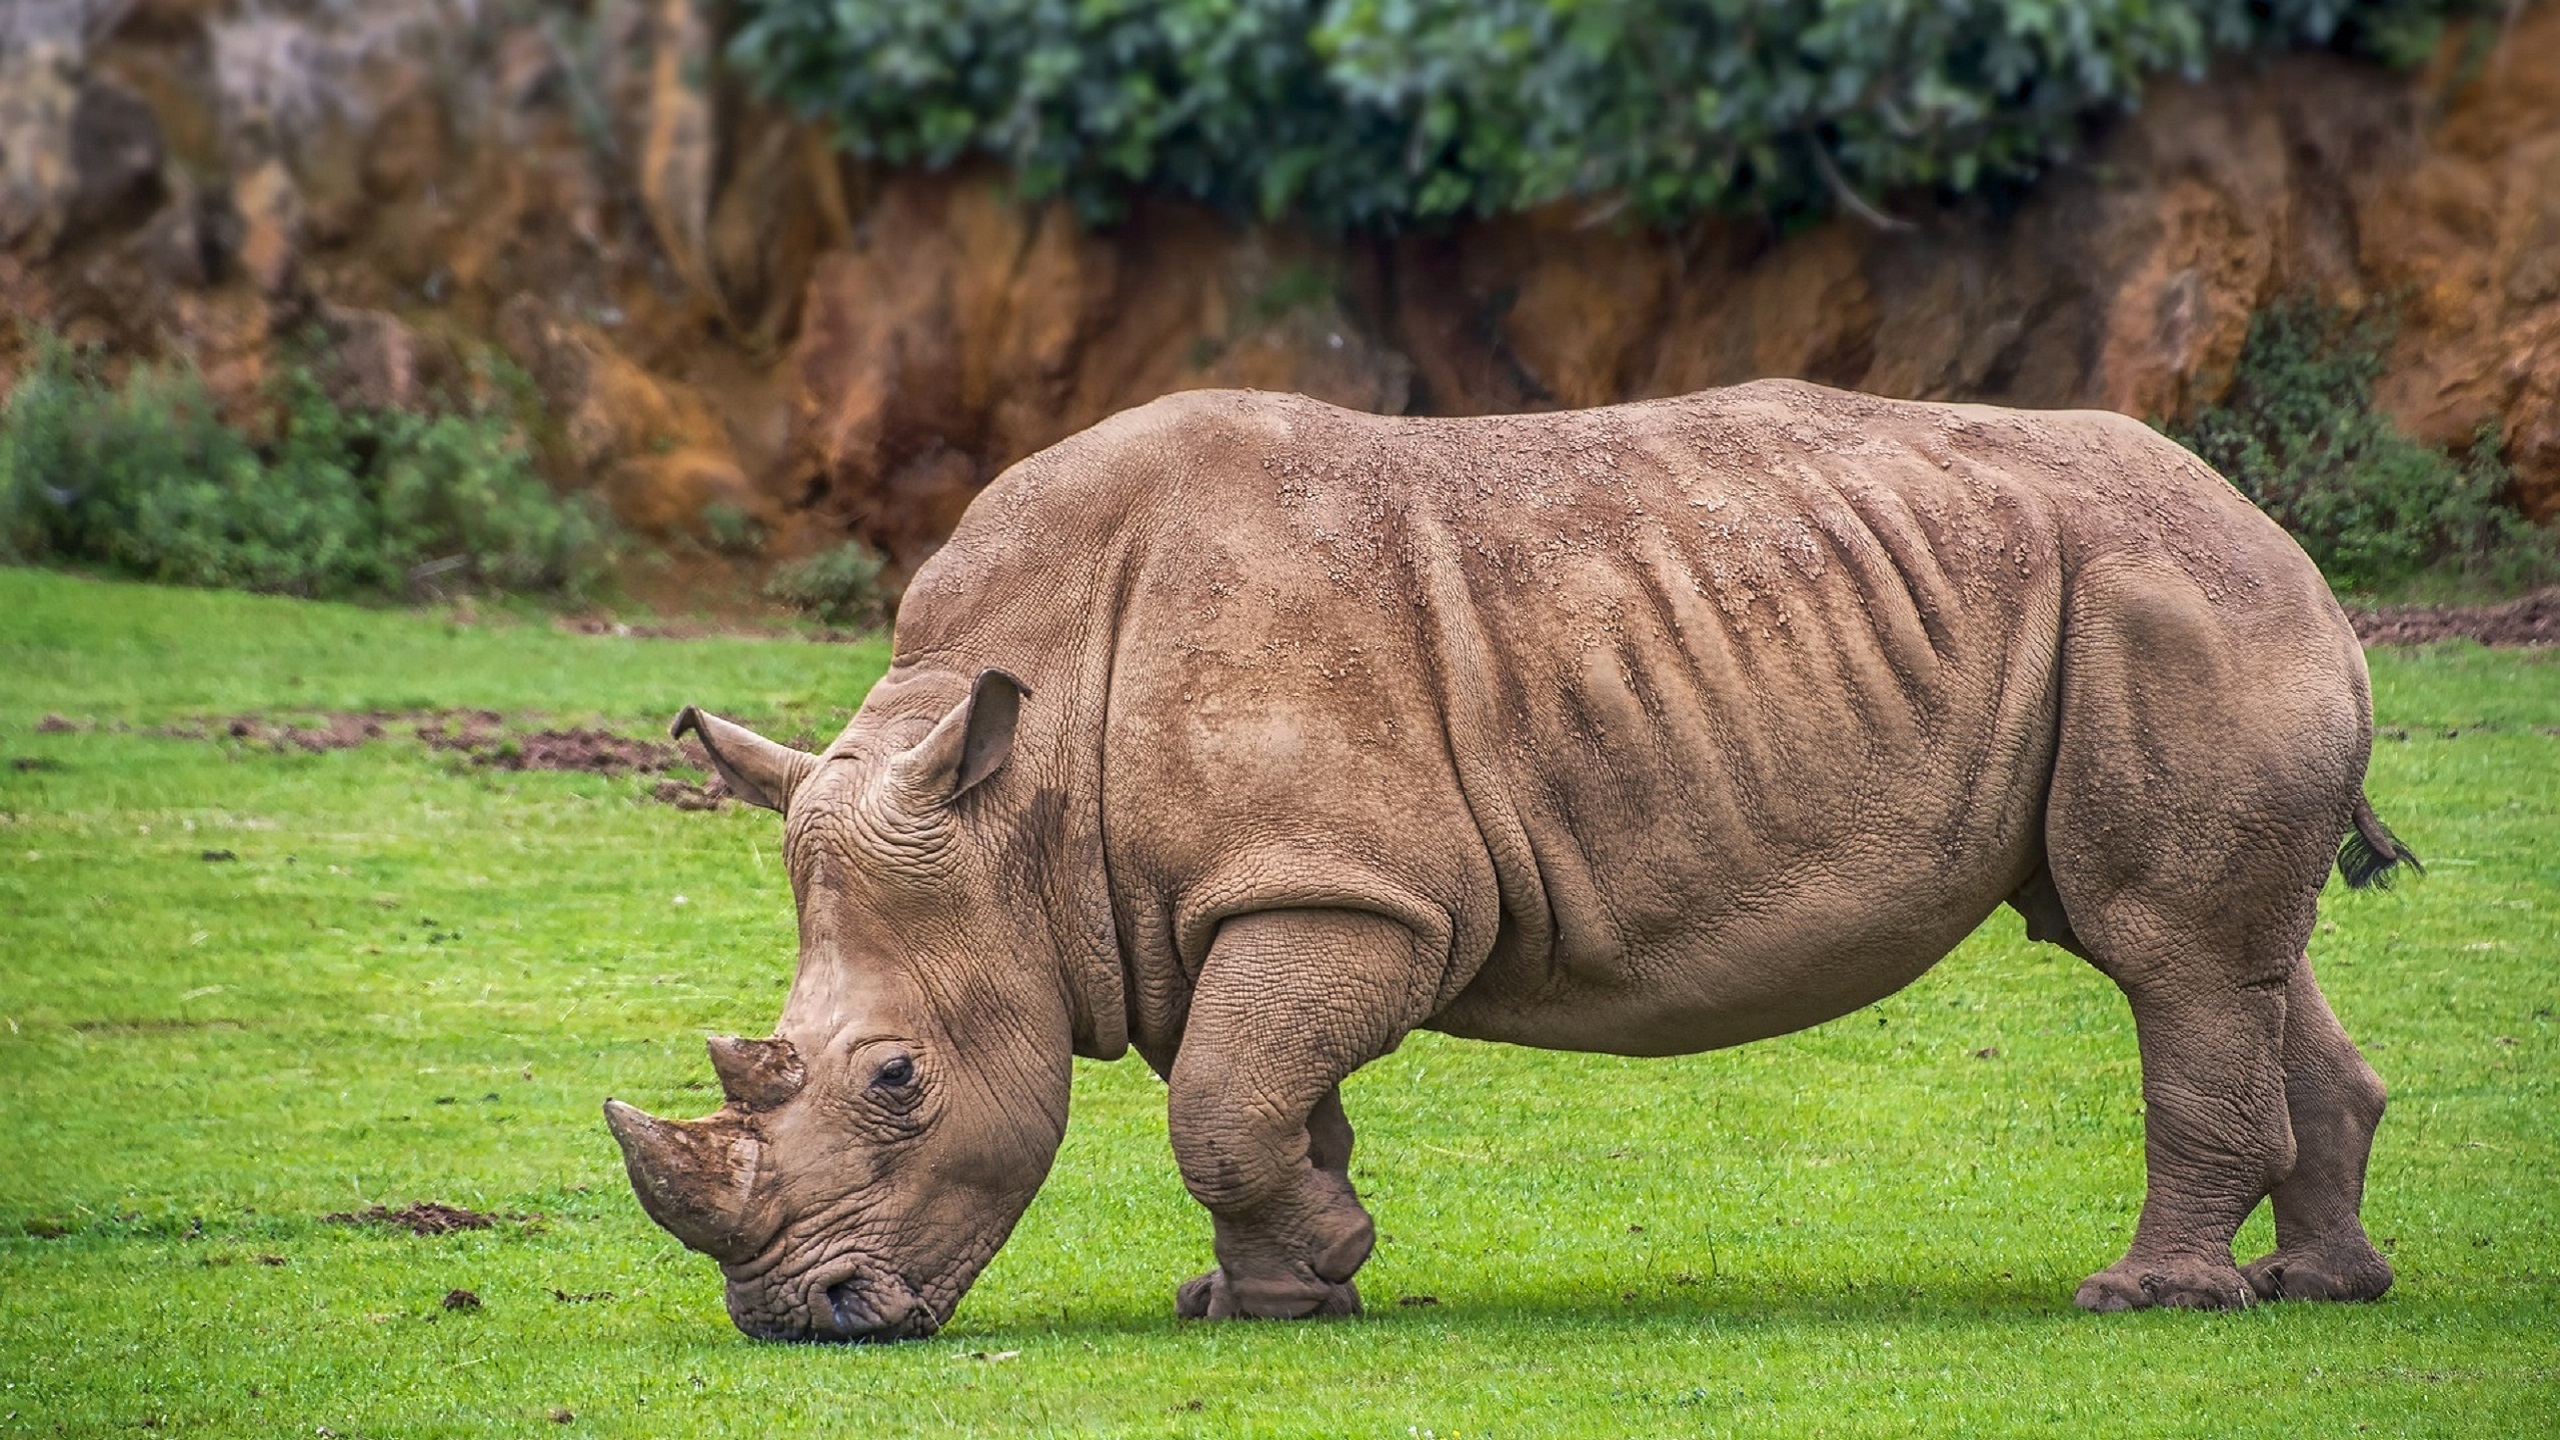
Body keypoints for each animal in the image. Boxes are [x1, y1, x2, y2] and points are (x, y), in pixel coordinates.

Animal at [605, 380, 2414, 1341]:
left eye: (896, 1080)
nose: (797, 1317)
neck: (1020, 801)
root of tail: (2282, 541)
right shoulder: (1219, 897)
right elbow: (1260, 1100)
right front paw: (1270, 1301)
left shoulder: (1347, 885)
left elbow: (1228, 1107)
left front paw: (1321, 1265)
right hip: (2158, 611)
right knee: (2226, 955)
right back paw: (2319, 1287)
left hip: (2170, 602)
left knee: (2164, 949)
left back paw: (2150, 1301)